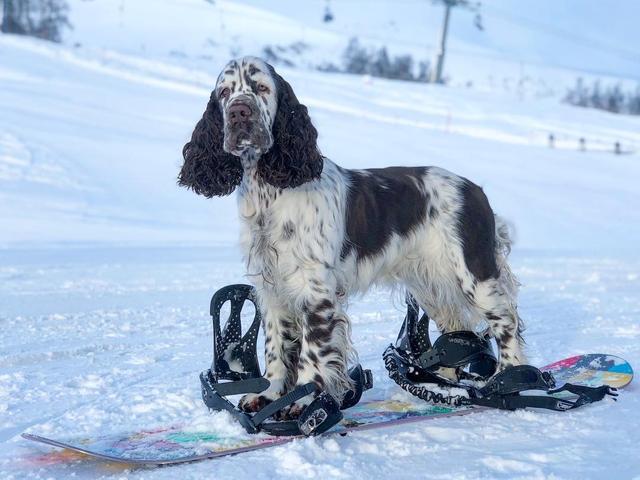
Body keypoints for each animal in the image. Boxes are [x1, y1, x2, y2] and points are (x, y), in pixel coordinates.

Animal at [176, 55, 524, 416]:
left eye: (260, 87)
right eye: (225, 92)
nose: (239, 112)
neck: (269, 190)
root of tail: (476, 190)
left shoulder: (315, 291)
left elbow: (312, 352)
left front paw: (303, 401)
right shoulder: (271, 286)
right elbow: (275, 347)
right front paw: (269, 395)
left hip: (474, 274)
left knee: (507, 322)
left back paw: (508, 379)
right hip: (430, 283)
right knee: (457, 328)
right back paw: (438, 385)